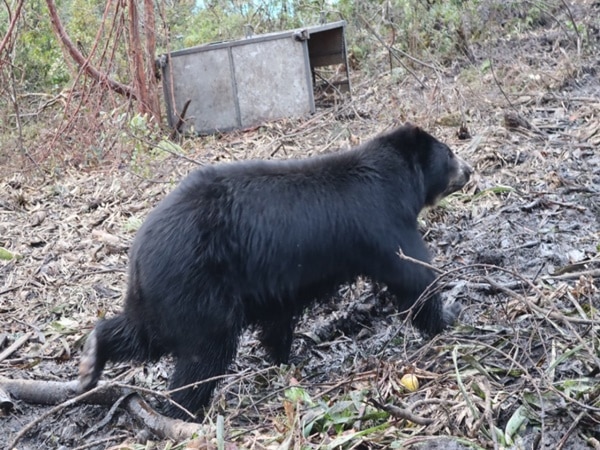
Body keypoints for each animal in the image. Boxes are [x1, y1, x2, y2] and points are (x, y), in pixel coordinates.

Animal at [78, 122, 474, 418]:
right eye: (449, 154)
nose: (469, 171)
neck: (396, 181)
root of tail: (139, 250)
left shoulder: (279, 280)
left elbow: (278, 319)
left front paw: (284, 358)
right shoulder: (383, 222)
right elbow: (413, 274)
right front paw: (450, 312)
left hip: (165, 293)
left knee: (143, 334)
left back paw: (91, 359)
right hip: (196, 285)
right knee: (205, 351)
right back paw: (185, 410)